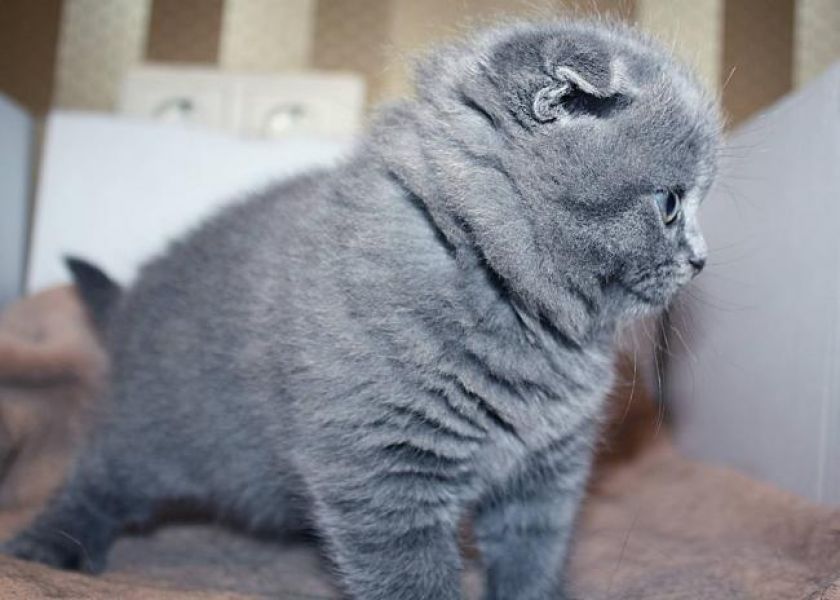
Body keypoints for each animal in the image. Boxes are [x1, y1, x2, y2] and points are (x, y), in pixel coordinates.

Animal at [3, 18, 720, 600]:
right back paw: (50, 544)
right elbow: (413, 579)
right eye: (670, 204)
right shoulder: (384, 469)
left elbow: (531, 558)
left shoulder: (545, 472)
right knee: (98, 474)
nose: (701, 259)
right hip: (155, 425)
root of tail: (135, 294)